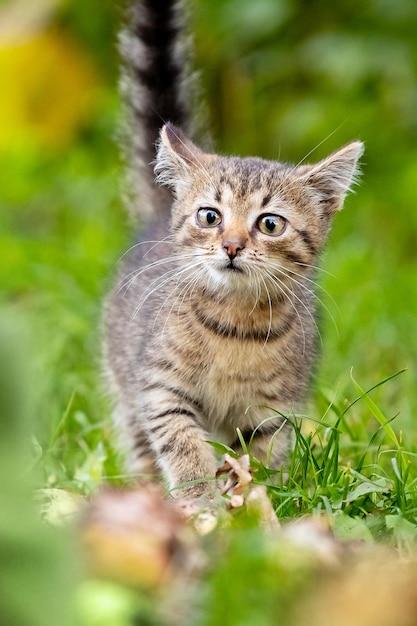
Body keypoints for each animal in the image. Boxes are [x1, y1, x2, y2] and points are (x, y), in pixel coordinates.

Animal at [102, 0, 362, 498]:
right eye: (210, 216)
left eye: (270, 224)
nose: (232, 246)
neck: (234, 328)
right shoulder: (160, 387)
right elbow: (181, 442)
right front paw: (200, 498)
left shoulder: (274, 410)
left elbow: (260, 457)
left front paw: (257, 498)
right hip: (124, 382)